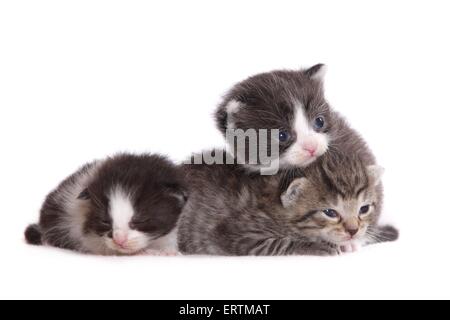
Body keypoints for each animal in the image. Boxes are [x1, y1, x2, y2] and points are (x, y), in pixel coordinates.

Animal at [178, 153, 400, 258]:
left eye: (364, 209)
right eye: (330, 212)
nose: (353, 231)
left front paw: (351, 242)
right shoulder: (234, 233)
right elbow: (279, 243)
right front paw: (318, 245)